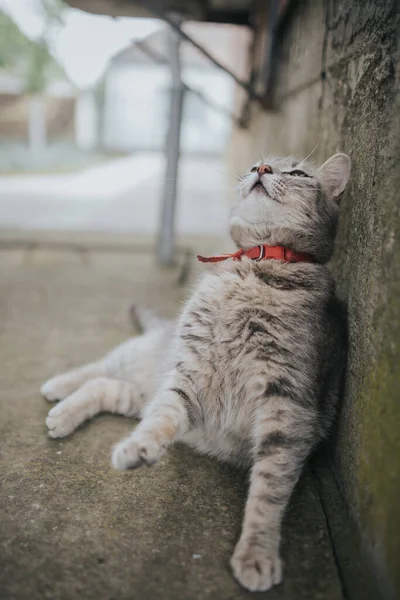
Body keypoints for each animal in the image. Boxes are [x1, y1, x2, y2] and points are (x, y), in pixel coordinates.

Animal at [41, 152, 350, 592]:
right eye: (257, 165)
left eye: (296, 173)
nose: (261, 170)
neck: (258, 263)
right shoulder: (188, 374)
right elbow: (160, 422)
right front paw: (138, 448)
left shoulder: (288, 407)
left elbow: (269, 490)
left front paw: (256, 552)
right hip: (143, 357)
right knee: (100, 367)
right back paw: (57, 388)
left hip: (140, 392)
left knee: (103, 385)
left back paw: (64, 414)